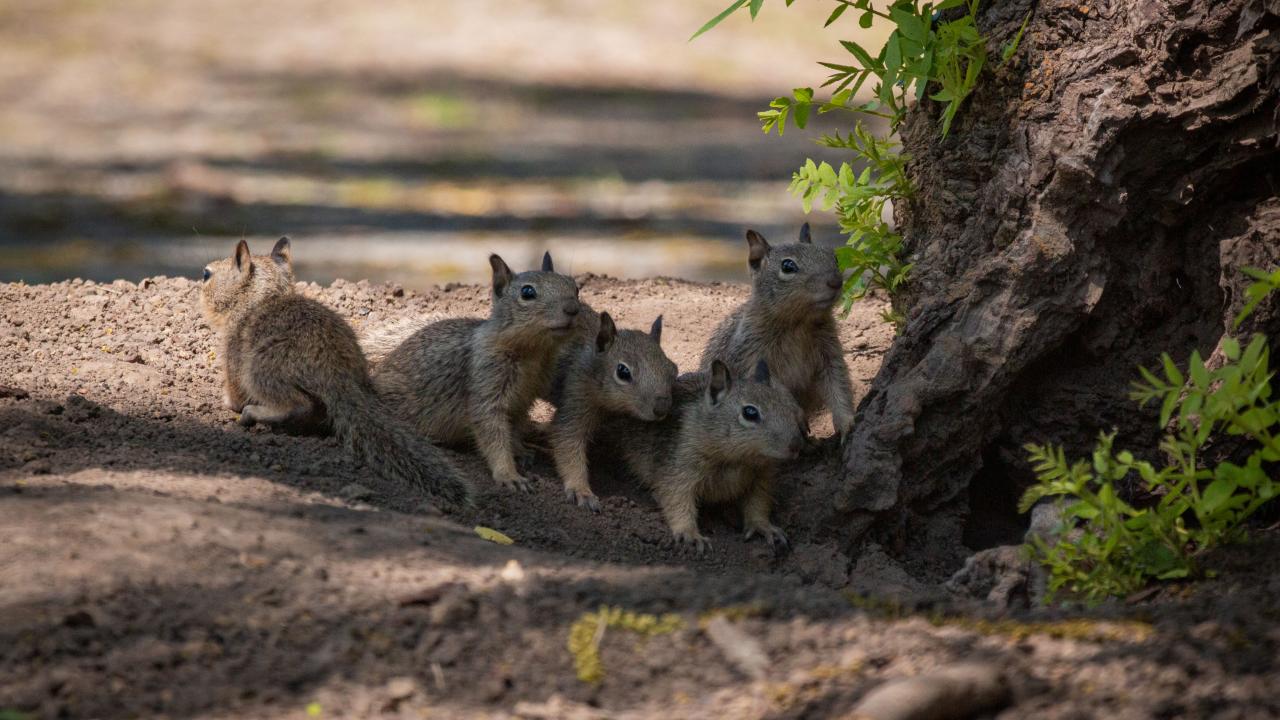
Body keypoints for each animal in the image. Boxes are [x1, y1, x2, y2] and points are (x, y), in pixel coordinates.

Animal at [199, 238, 472, 509]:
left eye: (206, 274)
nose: (200, 283)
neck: (259, 299)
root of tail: (338, 375)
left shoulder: (233, 354)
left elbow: (235, 394)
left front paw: (228, 401)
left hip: (261, 369)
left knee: (297, 404)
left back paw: (255, 414)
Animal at [370, 252, 581, 491]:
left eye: (575, 287)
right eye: (527, 292)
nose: (573, 310)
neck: (533, 354)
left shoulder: (522, 401)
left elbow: (514, 430)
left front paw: (521, 451)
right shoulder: (486, 391)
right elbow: (493, 436)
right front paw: (509, 475)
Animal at [547, 310, 677, 511]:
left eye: (673, 369)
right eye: (623, 372)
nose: (662, 408)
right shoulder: (575, 397)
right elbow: (567, 443)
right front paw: (581, 491)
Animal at [608, 358, 805, 554]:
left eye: (790, 407)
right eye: (750, 413)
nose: (796, 445)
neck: (737, 459)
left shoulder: (761, 478)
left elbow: (758, 503)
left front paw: (764, 526)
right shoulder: (678, 471)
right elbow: (678, 501)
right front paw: (690, 534)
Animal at [701, 224, 856, 441]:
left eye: (834, 257)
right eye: (788, 266)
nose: (835, 282)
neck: (798, 323)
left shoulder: (829, 353)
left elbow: (838, 384)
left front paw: (846, 421)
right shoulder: (752, 354)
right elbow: (775, 388)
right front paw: (796, 413)